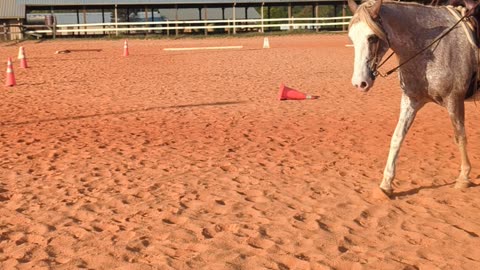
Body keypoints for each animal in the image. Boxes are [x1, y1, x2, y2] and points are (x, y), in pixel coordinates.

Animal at [346, 0, 478, 195]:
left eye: (372, 38)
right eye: (352, 37)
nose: (359, 83)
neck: (430, 46)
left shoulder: (454, 100)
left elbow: (459, 136)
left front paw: (463, 178)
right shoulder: (411, 101)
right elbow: (397, 137)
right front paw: (386, 184)